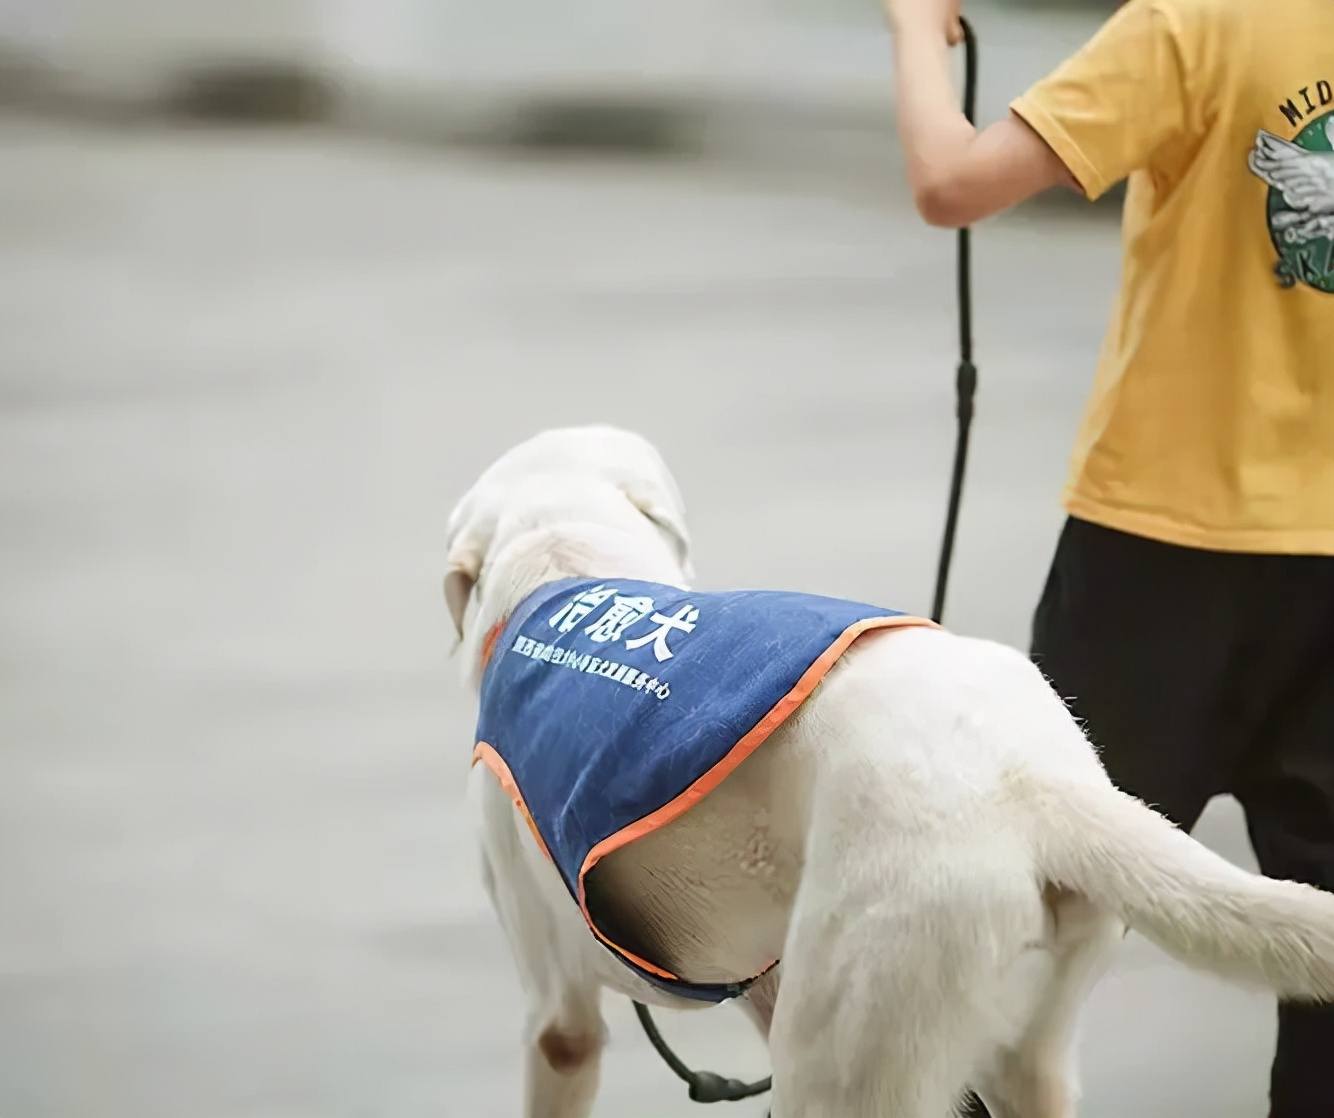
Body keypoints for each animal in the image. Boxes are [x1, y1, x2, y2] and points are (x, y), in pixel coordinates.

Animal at [445, 426, 1334, 1118]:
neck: (564, 554)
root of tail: (1037, 782)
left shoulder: (560, 1022)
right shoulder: (765, 983)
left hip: (849, 1041)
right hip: (1020, 1048)